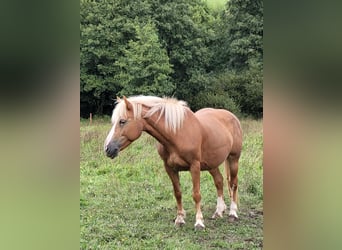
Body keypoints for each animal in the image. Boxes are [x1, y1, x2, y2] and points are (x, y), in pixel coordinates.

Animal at [104, 95, 243, 229]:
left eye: (122, 121)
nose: (107, 148)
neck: (177, 134)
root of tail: (232, 116)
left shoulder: (195, 166)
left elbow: (196, 194)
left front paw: (199, 222)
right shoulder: (170, 168)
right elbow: (178, 193)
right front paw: (180, 219)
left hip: (233, 159)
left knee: (233, 184)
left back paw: (233, 213)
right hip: (212, 164)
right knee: (219, 181)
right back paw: (218, 211)